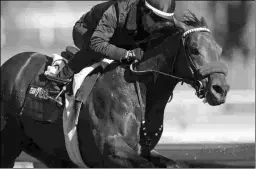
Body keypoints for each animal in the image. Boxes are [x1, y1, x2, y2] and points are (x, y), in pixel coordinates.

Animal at [1, 12, 230, 167]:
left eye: (219, 50)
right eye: (194, 50)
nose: (221, 89)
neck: (139, 91)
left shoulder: (144, 150)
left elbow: (174, 163)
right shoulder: (111, 150)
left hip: (48, 151)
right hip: (9, 145)